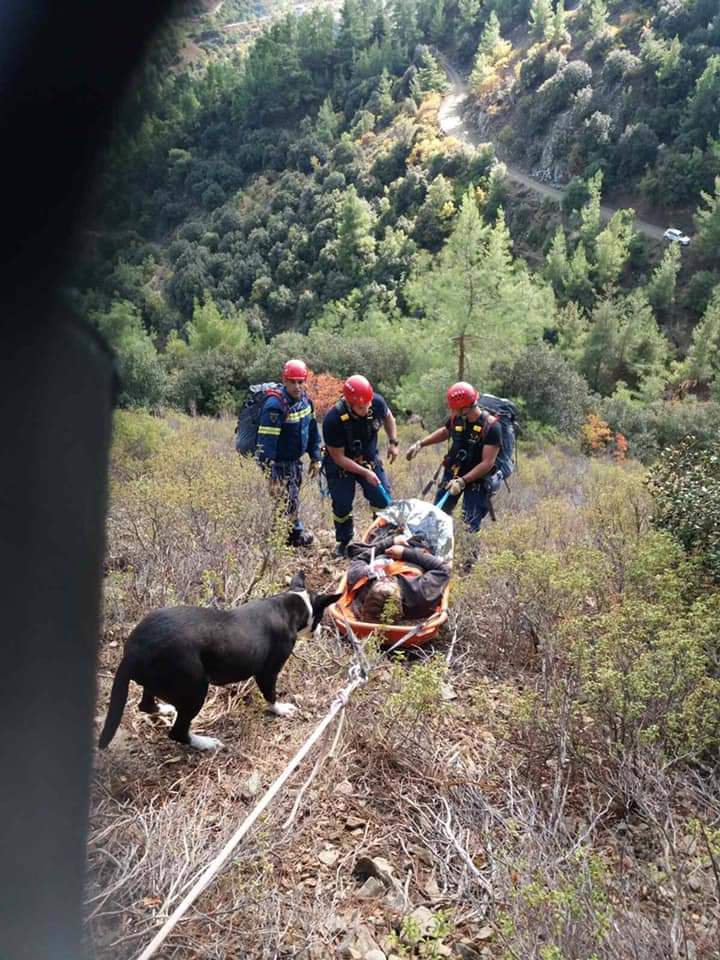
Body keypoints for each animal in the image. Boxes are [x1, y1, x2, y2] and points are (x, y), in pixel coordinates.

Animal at [97, 568, 340, 752]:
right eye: (320, 616)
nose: (321, 631)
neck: (289, 604)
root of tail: (131, 653)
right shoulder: (267, 672)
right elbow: (271, 694)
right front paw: (281, 709)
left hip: (160, 682)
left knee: (146, 704)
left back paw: (165, 709)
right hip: (195, 688)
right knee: (178, 732)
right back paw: (206, 743)